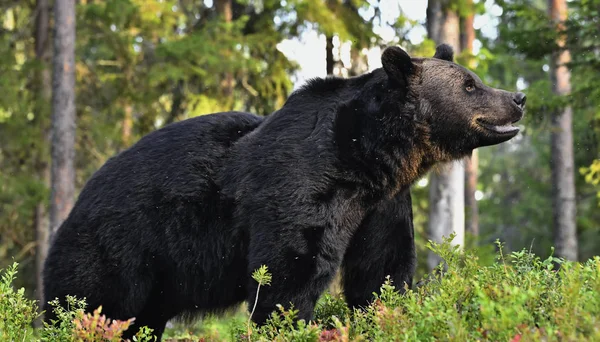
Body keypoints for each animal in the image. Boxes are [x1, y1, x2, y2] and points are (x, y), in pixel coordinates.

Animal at [43, 44, 524, 340]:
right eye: (470, 85)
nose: (517, 98)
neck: (367, 158)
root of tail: (81, 195)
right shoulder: (303, 187)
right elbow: (289, 274)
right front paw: (290, 323)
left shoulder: (381, 205)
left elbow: (381, 270)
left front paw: (385, 312)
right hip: (119, 244)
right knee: (89, 303)